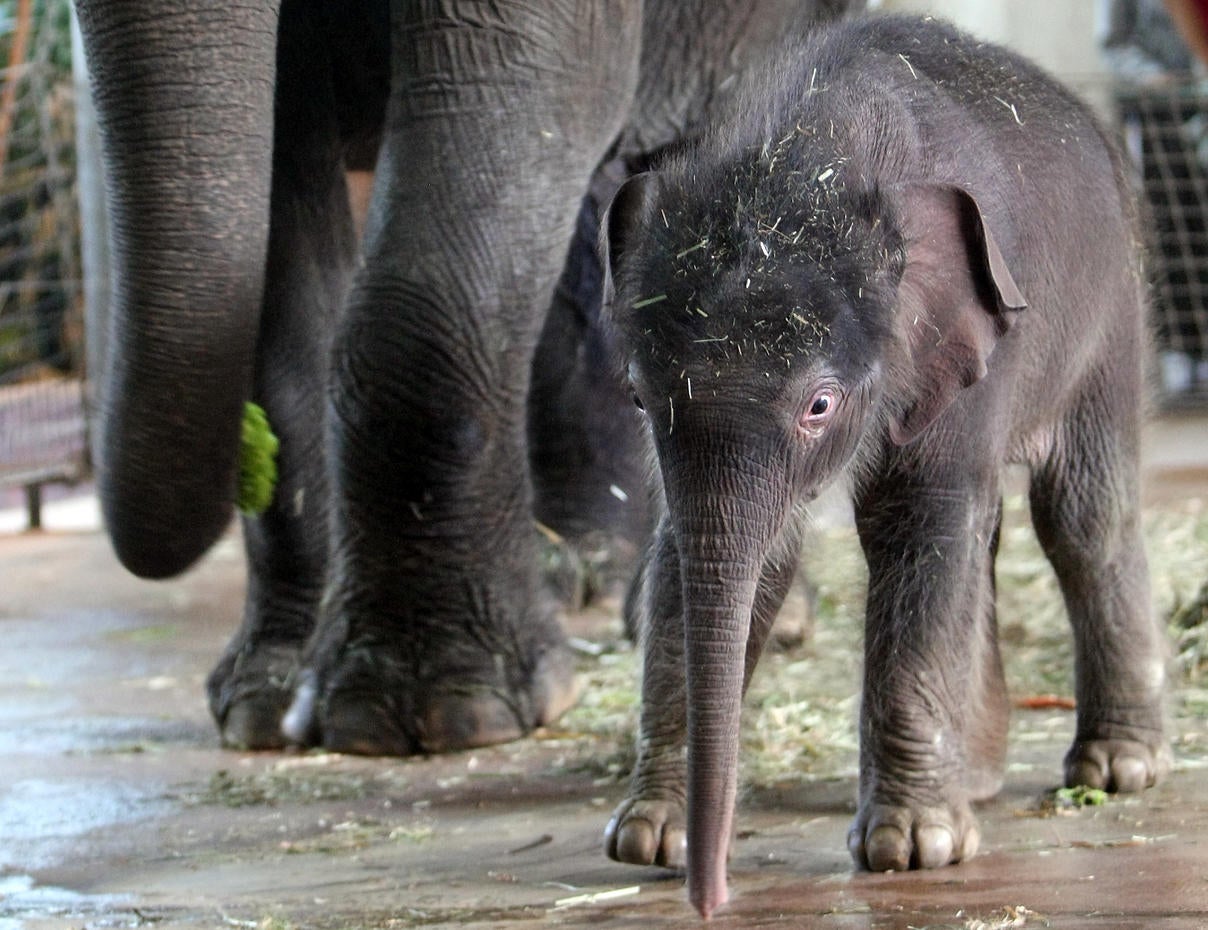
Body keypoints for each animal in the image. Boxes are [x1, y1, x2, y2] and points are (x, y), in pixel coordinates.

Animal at [600, 14, 1171, 918]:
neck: (807, 157)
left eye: (819, 405)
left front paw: (911, 849)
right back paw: (978, 778)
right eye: (639, 395)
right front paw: (648, 837)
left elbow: (920, 521)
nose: (711, 896)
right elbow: (732, 555)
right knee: (993, 531)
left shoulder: (963, 344)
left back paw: (1117, 770)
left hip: (1113, 313)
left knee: (1081, 517)